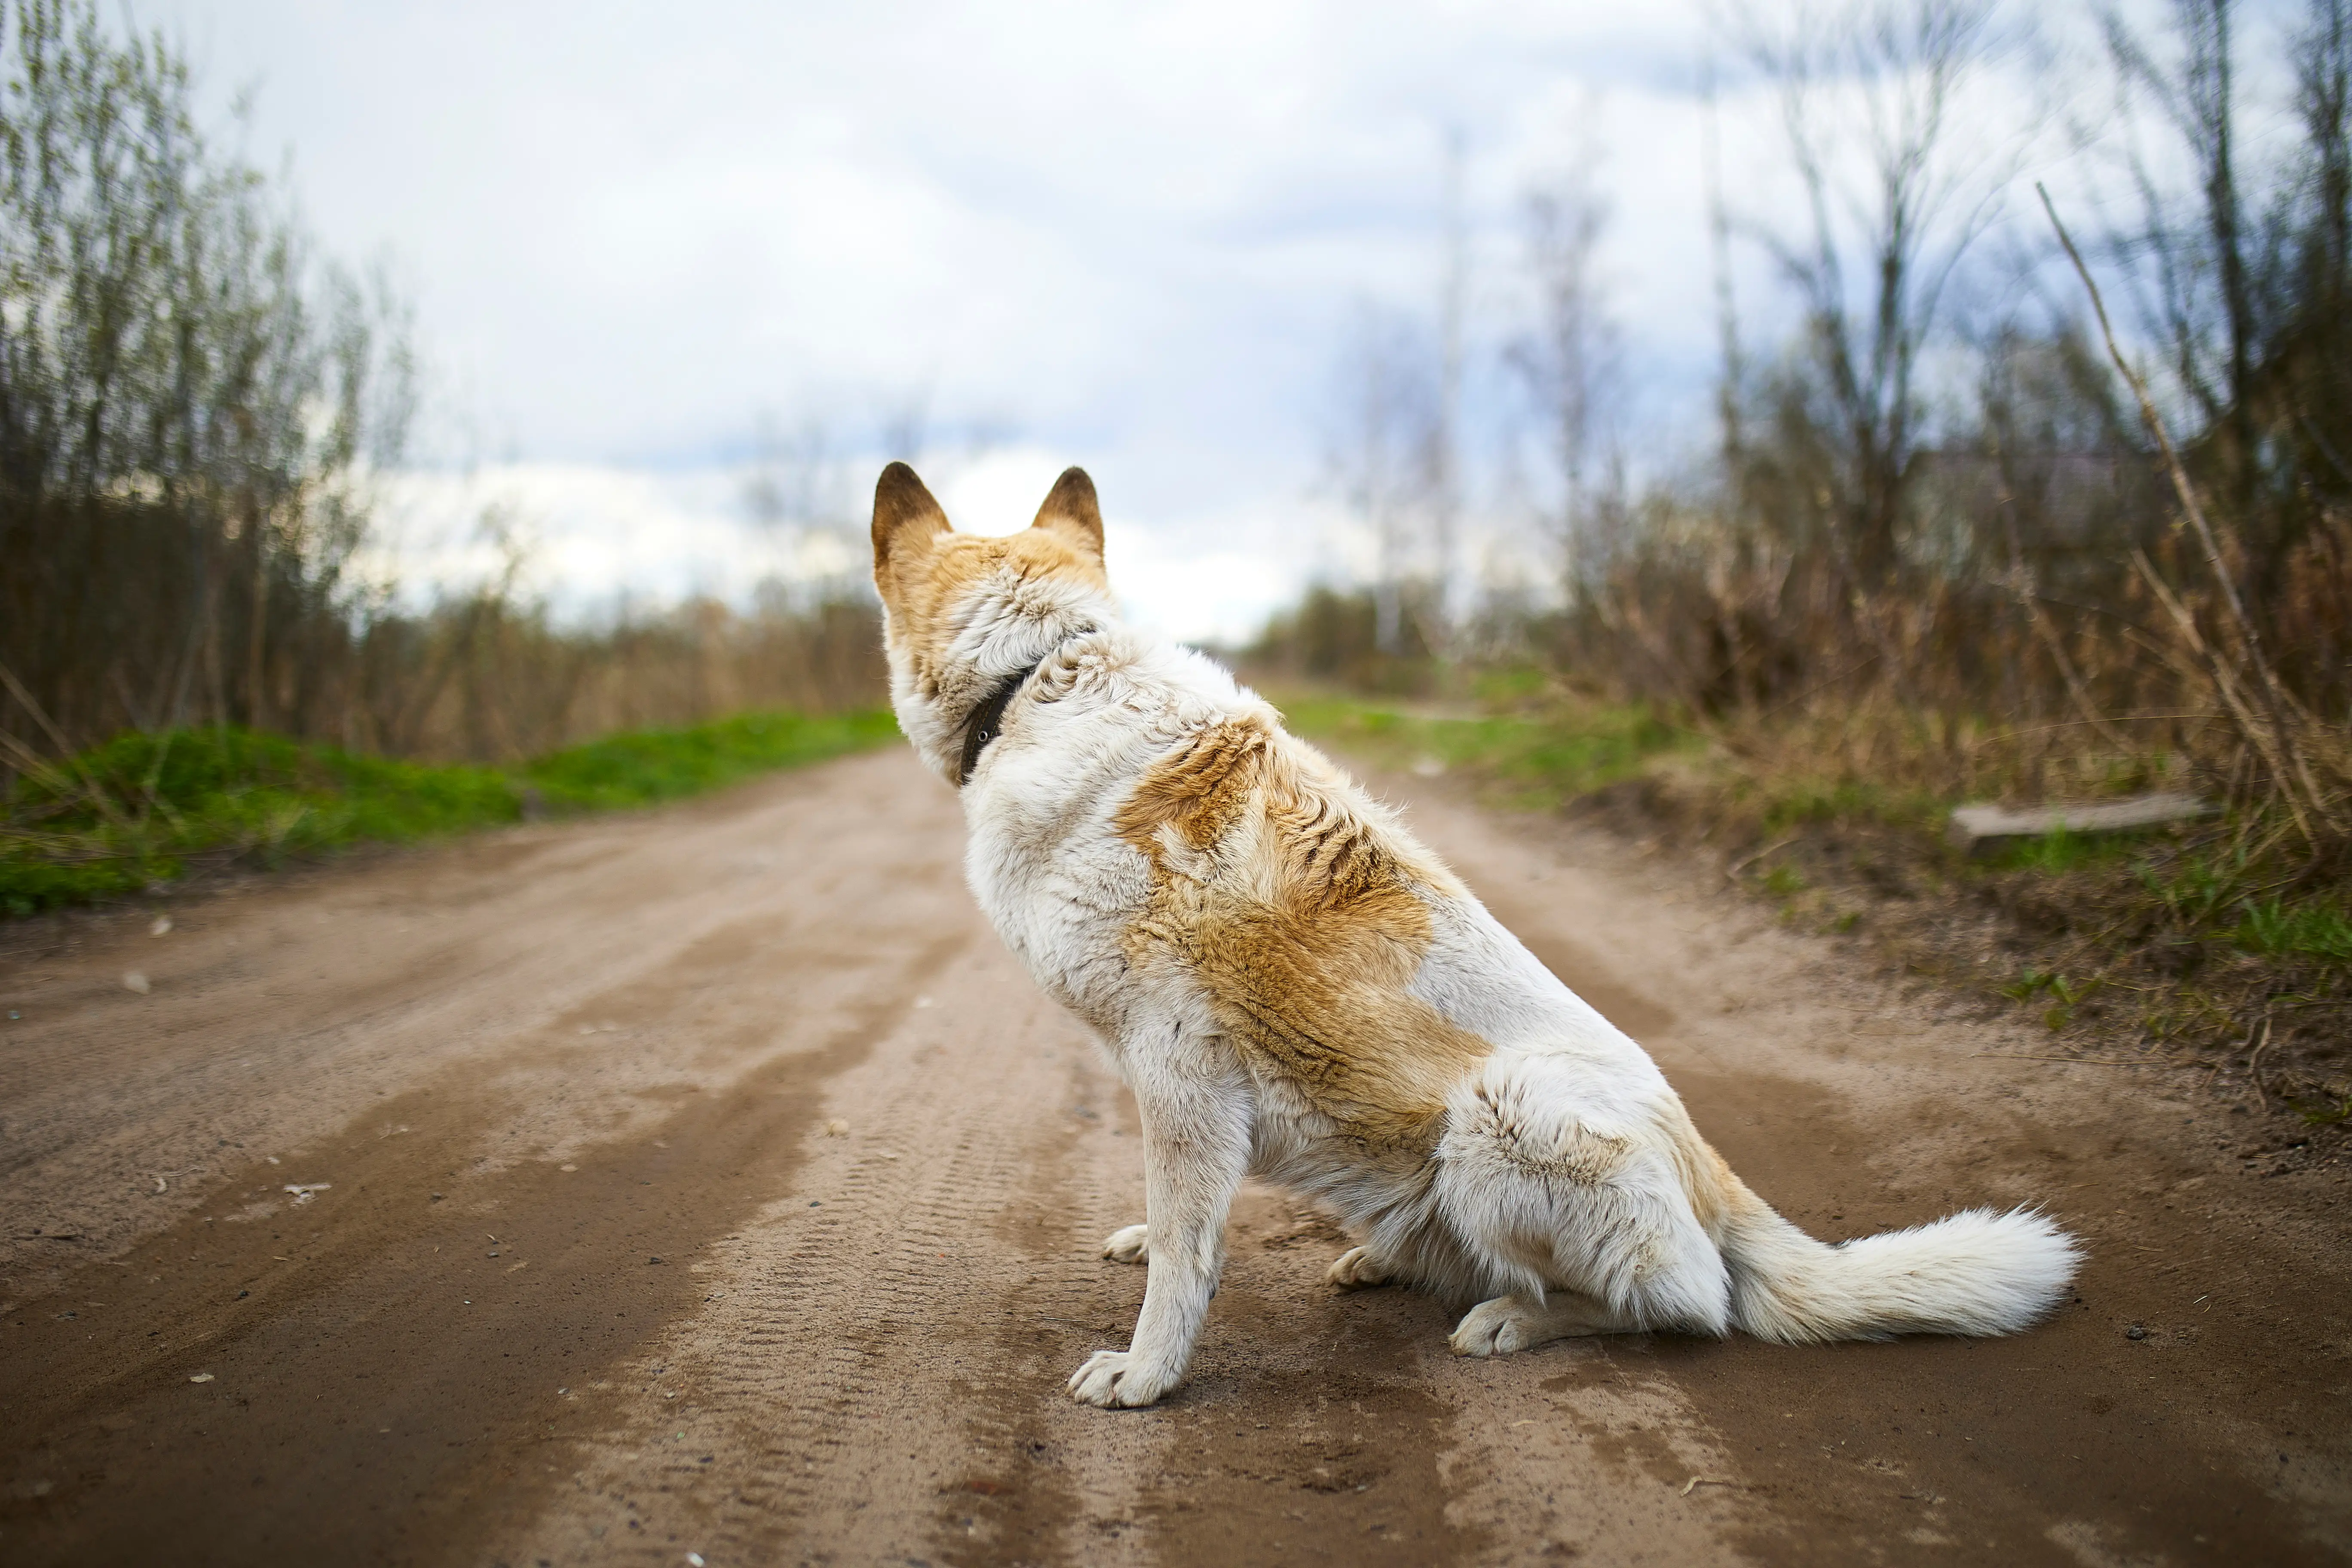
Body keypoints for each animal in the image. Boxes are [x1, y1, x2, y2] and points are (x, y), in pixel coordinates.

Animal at [875, 463, 2089, 1410]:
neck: (1035, 679)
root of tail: (1712, 1174)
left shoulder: (1178, 1063)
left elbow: (1184, 1255)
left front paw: (1145, 1375)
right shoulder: (1166, 1081)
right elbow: (1177, 1219)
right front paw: (1140, 1250)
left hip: (1499, 1115)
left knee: (1684, 1305)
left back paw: (1513, 1318)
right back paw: (1386, 1260)